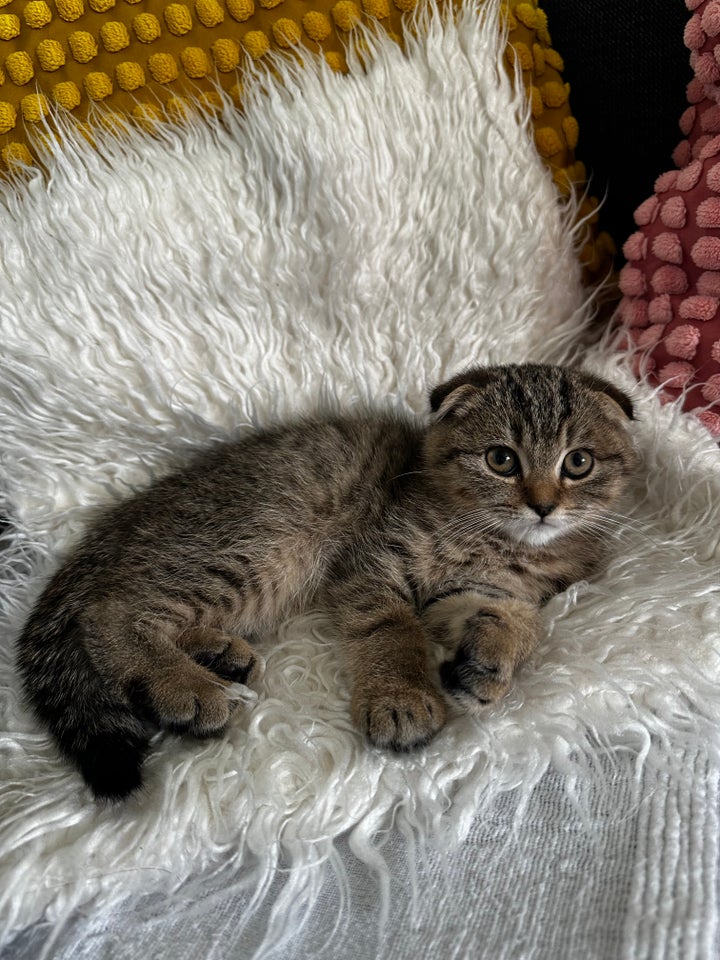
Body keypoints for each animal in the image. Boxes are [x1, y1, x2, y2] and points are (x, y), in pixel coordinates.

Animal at [15, 364, 636, 800]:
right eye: (501, 459)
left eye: (578, 463)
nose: (543, 506)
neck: (499, 543)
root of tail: (118, 523)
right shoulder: (369, 561)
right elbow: (392, 628)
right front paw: (400, 697)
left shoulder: (486, 592)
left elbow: (517, 617)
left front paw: (490, 658)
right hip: (260, 542)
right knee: (109, 611)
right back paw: (187, 688)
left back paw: (214, 657)